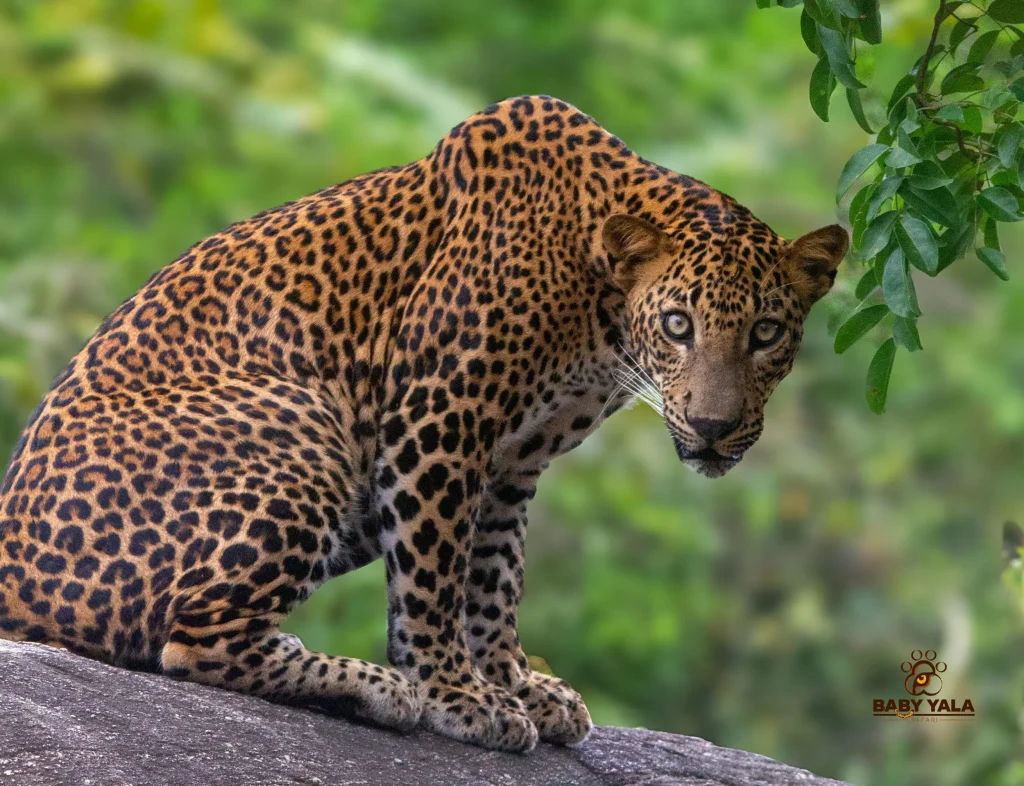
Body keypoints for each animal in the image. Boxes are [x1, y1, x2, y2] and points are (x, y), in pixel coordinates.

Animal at [0, 95, 848, 753]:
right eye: (677, 325)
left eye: (766, 333)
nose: (712, 426)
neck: (598, 308)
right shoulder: (439, 418)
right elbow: (435, 575)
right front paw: (457, 698)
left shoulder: (512, 463)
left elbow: (494, 578)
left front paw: (515, 685)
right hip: (306, 426)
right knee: (190, 644)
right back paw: (377, 687)